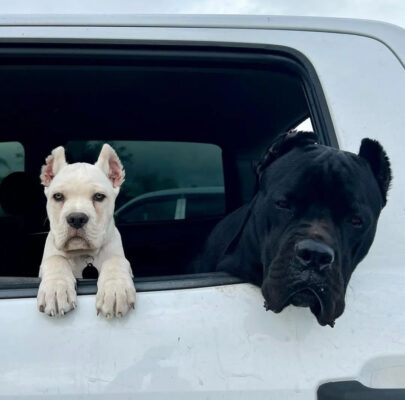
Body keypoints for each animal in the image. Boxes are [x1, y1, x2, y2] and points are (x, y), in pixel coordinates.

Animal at [36, 144, 136, 318]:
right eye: (58, 196)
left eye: (99, 197)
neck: (82, 254)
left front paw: (115, 288)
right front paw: (55, 289)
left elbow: (115, 260)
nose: (76, 218)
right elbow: (55, 259)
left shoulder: (116, 254)